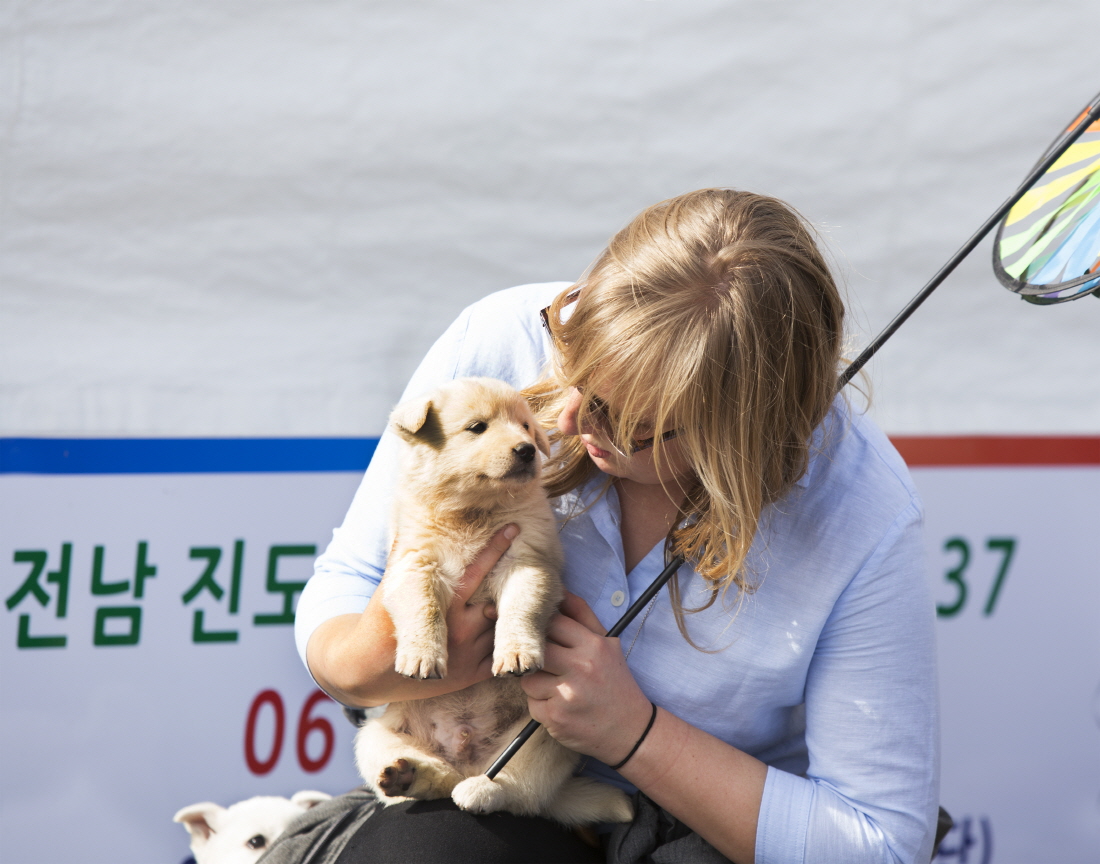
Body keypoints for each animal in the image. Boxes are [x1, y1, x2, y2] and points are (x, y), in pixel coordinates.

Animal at [356, 376, 633, 823]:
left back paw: (482, 790)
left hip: (543, 731)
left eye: (525, 426)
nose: (526, 449)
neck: (472, 513)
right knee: (434, 777)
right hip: (375, 734)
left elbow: (521, 608)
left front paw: (516, 653)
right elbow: (423, 605)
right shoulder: (413, 563)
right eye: (477, 427)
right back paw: (406, 775)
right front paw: (421, 655)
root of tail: (466, 753)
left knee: (518, 790)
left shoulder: (527, 562)